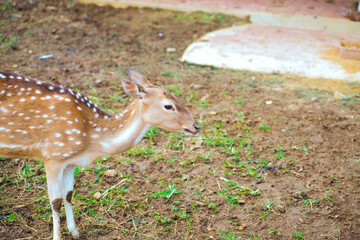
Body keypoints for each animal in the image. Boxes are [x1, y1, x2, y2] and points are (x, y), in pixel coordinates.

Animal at [0, 69, 200, 238]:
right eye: (168, 106)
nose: (196, 126)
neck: (90, 140)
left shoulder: (69, 162)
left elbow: (69, 194)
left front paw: (75, 232)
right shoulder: (52, 155)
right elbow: (55, 201)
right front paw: (58, 237)